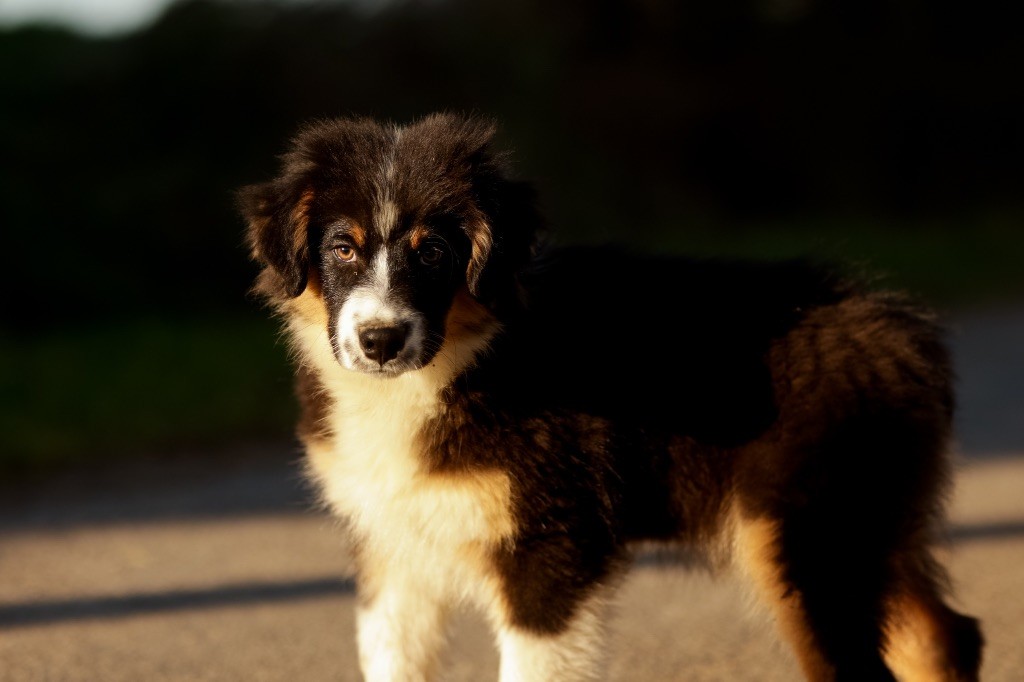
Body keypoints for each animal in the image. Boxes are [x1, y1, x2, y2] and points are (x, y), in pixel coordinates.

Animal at [239, 112, 983, 679]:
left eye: (433, 253)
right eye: (342, 248)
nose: (380, 340)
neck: (459, 364)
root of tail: (900, 329)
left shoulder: (553, 543)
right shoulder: (395, 547)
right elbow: (393, 662)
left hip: (809, 528)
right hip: (869, 521)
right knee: (946, 635)